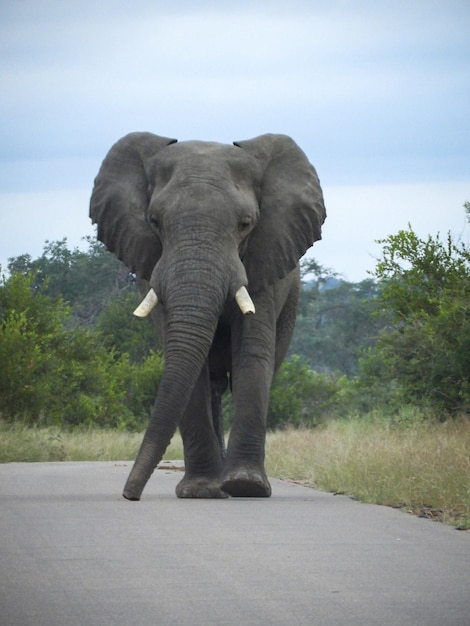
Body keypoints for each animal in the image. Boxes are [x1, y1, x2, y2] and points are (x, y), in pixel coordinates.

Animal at [91, 132, 326, 498]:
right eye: (155, 222)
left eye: (245, 225)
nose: (130, 494)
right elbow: (192, 367)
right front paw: (201, 491)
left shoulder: (264, 262)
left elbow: (251, 356)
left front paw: (246, 485)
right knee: (213, 384)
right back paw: (217, 485)